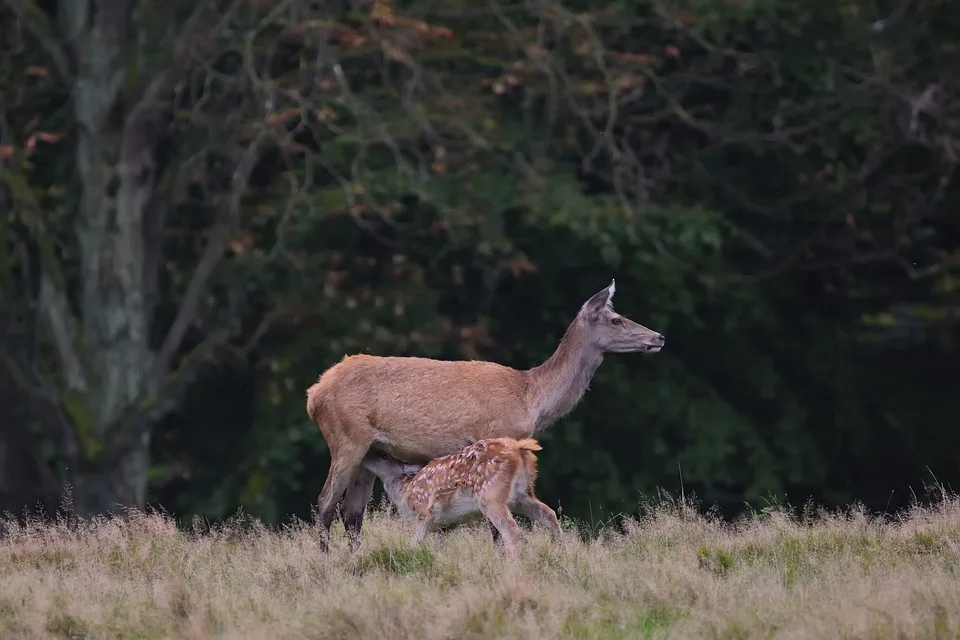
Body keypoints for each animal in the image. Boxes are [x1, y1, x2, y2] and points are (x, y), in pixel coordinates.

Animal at [361, 437, 563, 555]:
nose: (366, 454)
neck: (405, 491)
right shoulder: (444, 526)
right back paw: (562, 554)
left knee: (512, 530)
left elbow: (416, 541)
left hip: (490, 494)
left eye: (384, 455)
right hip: (522, 495)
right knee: (549, 513)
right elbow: (440, 547)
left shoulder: (425, 511)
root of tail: (518, 449)